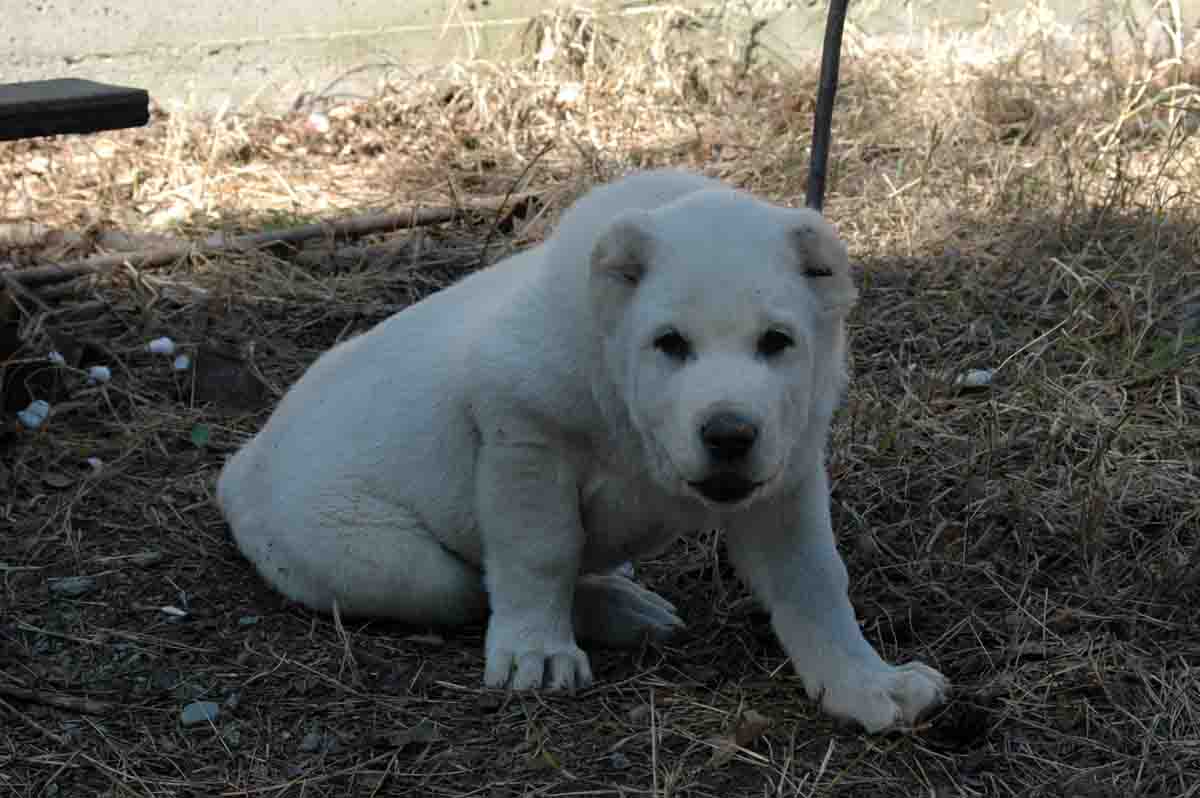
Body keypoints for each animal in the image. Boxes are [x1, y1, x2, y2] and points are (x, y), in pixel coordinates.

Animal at [217, 169, 948, 733]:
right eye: (668, 343)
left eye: (777, 341)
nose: (729, 434)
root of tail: (240, 467)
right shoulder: (523, 433)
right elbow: (541, 552)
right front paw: (537, 654)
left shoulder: (786, 472)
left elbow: (813, 579)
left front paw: (863, 683)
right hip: (372, 555)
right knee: (464, 584)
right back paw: (613, 610)